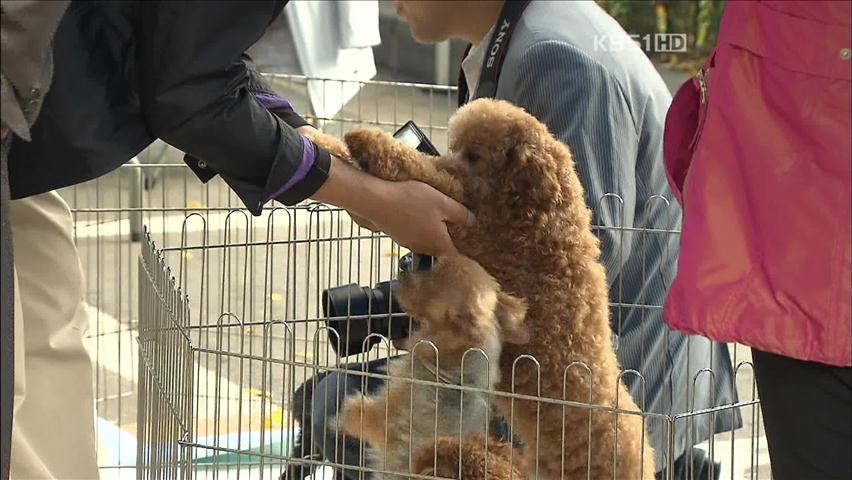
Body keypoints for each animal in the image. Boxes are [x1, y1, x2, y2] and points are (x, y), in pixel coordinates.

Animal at [342, 98, 656, 480]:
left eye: (474, 156)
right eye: (455, 148)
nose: (447, 158)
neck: (541, 212)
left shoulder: (473, 233)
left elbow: (432, 176)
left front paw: (371, 145)